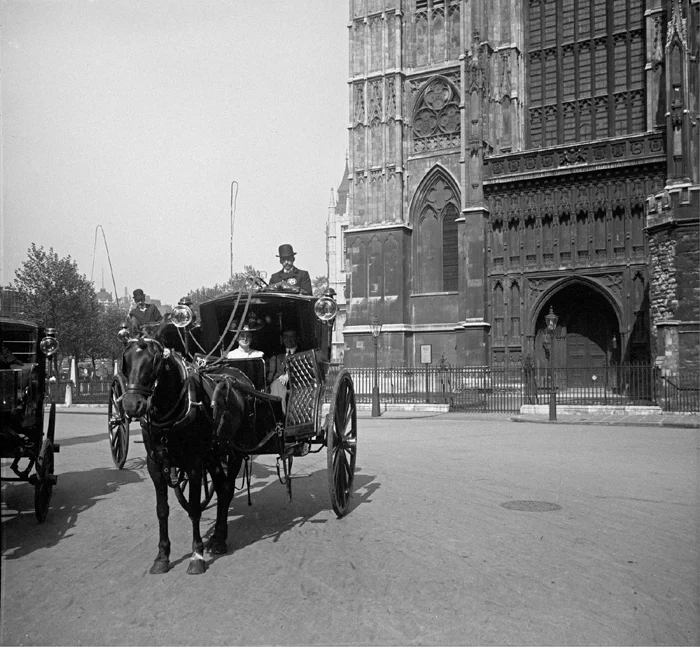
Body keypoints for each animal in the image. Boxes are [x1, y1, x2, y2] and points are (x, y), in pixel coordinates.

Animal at [121, 326, 247, 576]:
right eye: (126, 359)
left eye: (155, 361)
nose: (131, 405)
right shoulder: (155, 465)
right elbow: (162, 510)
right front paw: (162, 556)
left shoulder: (194, 464)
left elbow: (195, 509)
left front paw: (197, 555)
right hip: (213, 455)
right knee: (221, 487)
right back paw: (218, 537)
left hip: (234, 451)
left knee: (227, 488)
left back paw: (219, 538)